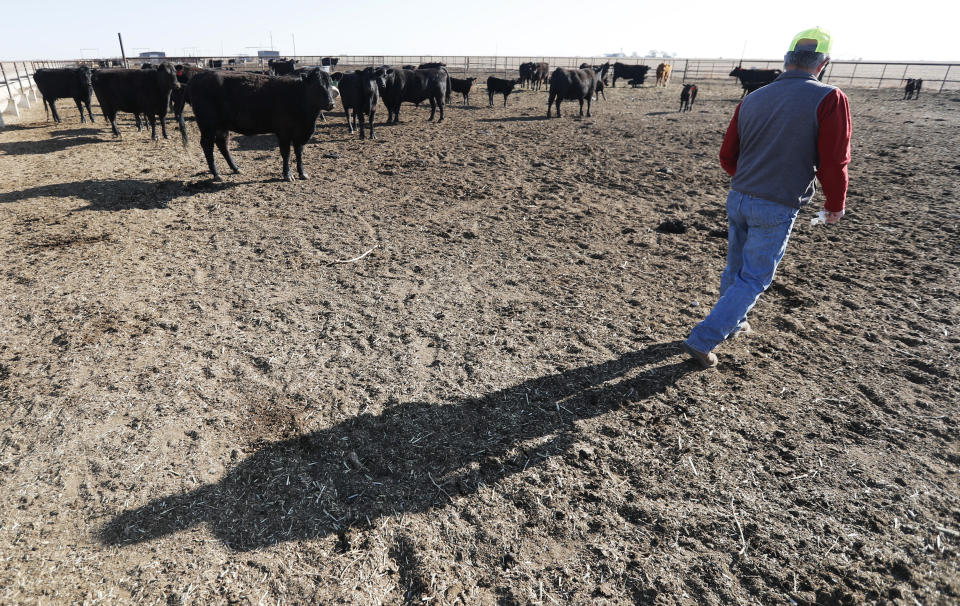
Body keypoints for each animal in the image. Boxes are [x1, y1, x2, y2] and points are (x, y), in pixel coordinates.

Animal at [187, 68, 338, 180]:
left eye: (330, 84)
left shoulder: (300, 133)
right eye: (316, 86)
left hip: (221, 127)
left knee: (222, 144)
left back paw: (236, 168)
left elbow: (299, 152)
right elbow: (286, 153)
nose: (331, 104)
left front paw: (302, 173)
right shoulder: (284, 132)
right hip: (208, 125)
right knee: (207, 146)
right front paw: (287, 175)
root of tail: (200, 76)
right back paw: (216, 174)